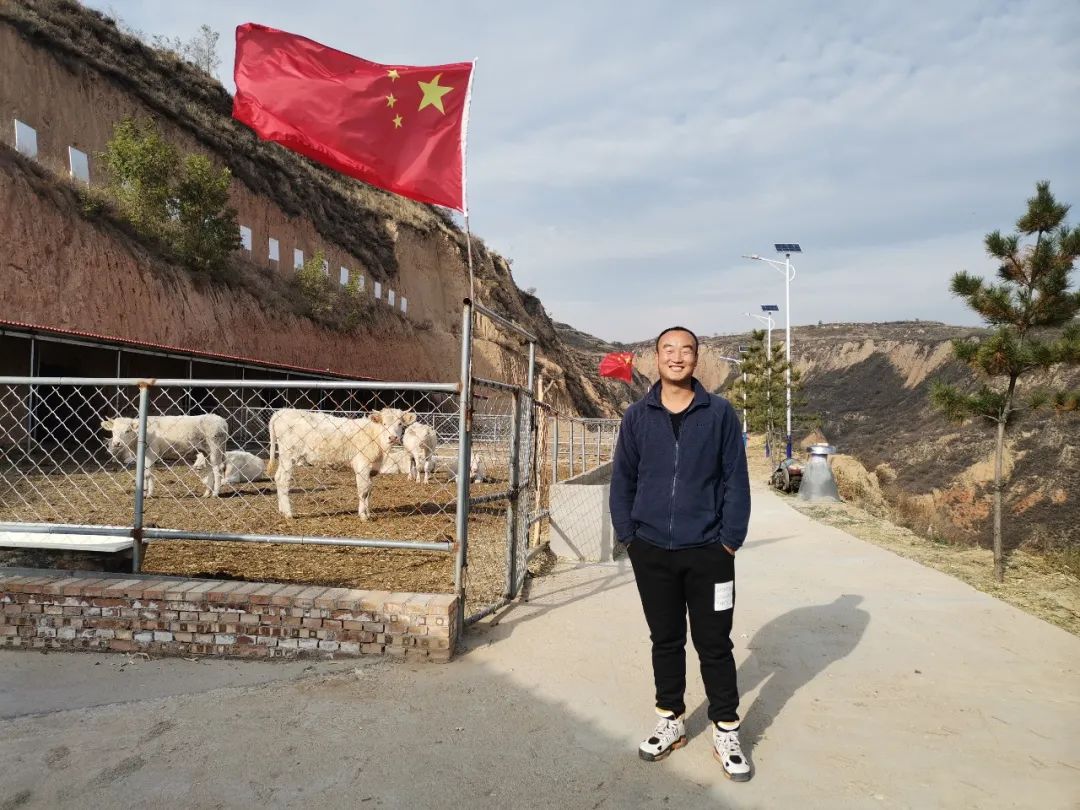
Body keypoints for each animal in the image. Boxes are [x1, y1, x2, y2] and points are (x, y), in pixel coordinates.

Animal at [264, 406, 412, 520]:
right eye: (384, 424)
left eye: (400, 424)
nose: (393, 437)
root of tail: (282, 411)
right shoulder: (362, 466)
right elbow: (363, 490)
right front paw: (363, 515)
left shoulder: (371, 469)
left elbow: (369, 490)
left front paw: (368, 513)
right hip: (289, 456)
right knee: (283, 480)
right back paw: (288, 513)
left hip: (284, 457)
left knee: (278, 477)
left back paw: (282, 510)